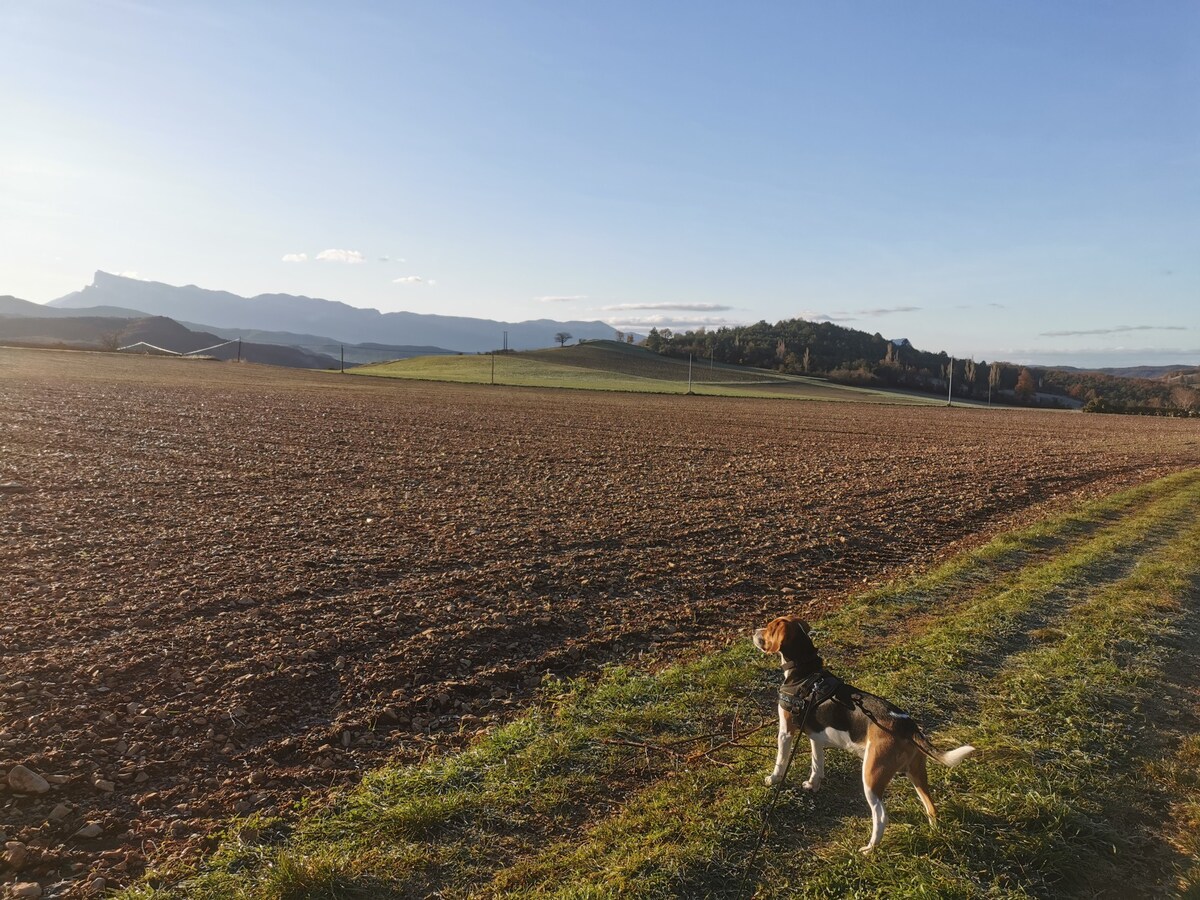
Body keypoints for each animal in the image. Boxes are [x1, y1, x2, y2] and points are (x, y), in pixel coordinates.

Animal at [748, 619, 974, 854]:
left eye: (770, 628)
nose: (753, 631)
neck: (805, 673)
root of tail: (907, 725)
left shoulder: (786, 732)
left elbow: (781, 761)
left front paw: (772, 779)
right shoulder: (815, 736)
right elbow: (816, 764)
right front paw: (812, 784)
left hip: (872, 776)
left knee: (881, 816)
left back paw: (869, 848)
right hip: (917, 773)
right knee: (930, 806)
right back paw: (933, 832)